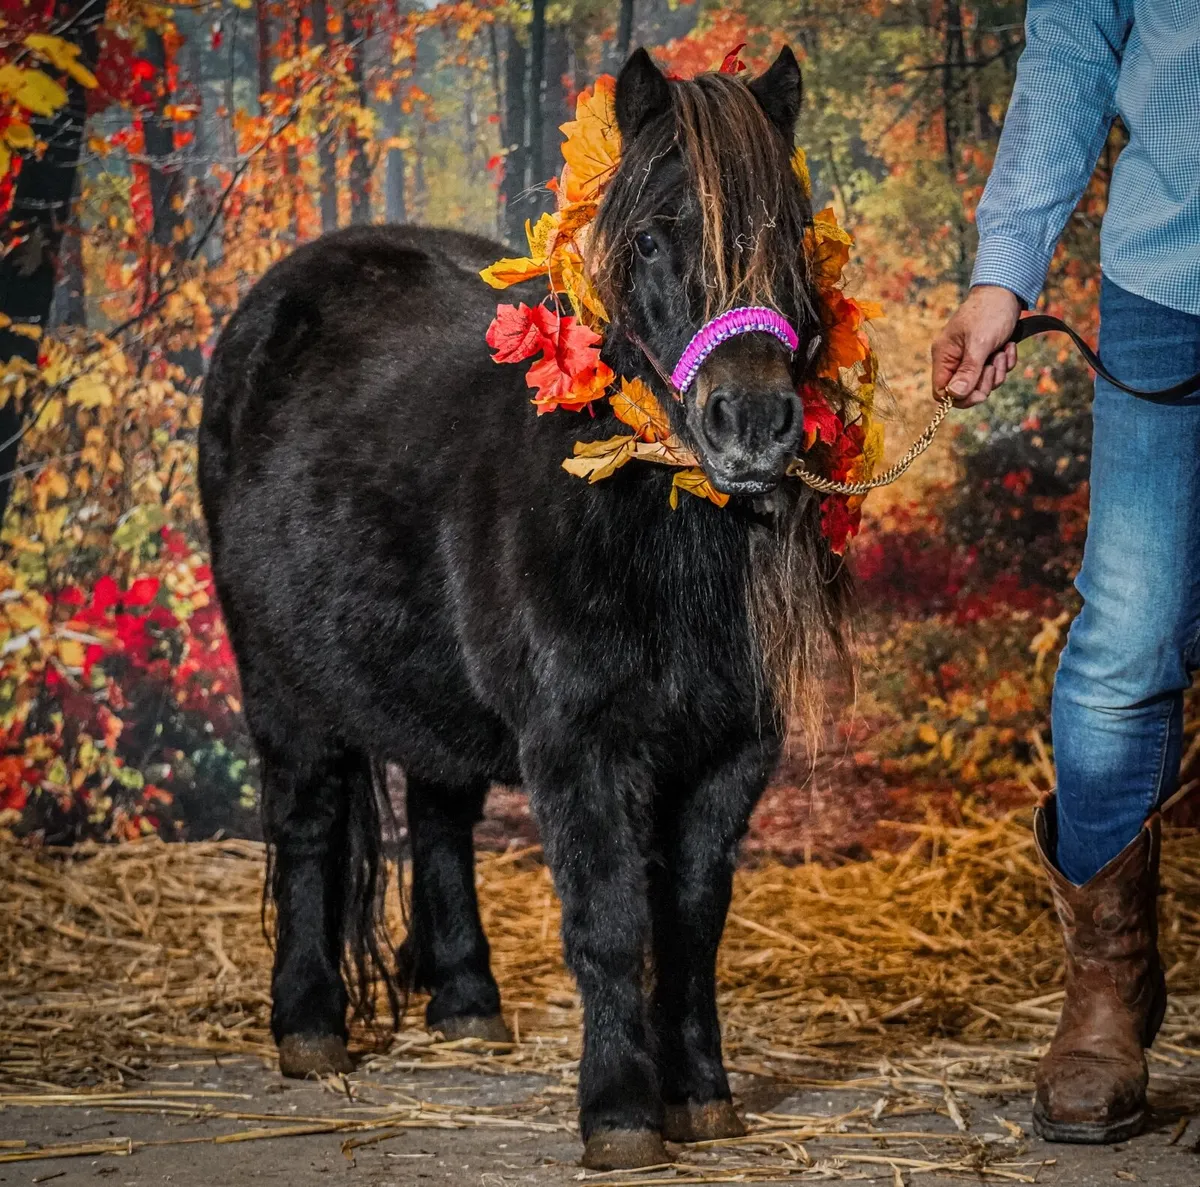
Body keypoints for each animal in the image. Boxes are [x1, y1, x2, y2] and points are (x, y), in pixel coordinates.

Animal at [199, 46, 850, 1171]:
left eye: (793, 232)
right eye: (650, 237)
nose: (753, 422)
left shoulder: (732, 751)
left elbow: (692, 918)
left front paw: (702, 1096)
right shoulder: (581, 743)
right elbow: (610, 918)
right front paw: (622, 1112)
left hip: (425, 685)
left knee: (439, 814)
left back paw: (467, 1001)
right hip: (281, 683)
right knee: (311, 824)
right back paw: (310, 1024)